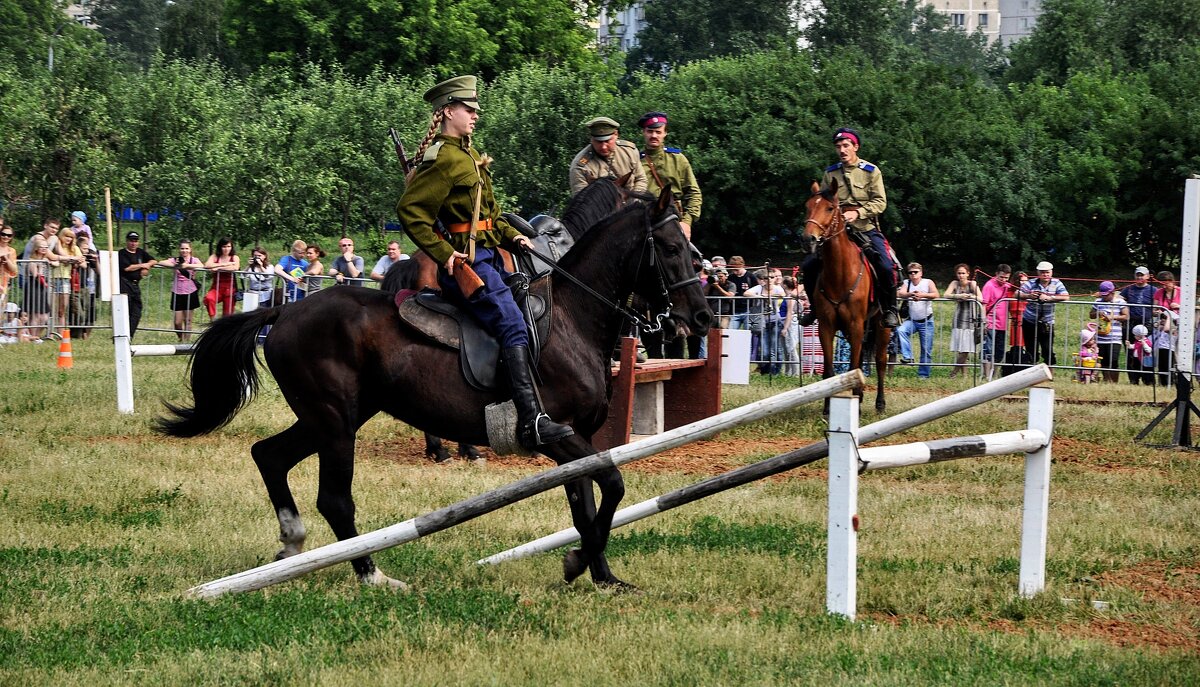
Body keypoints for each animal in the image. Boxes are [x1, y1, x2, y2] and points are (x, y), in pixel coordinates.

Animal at [153, 183, 705, 590]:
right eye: (671, 248)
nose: (699, 317)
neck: (575, 318)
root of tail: (285, 311)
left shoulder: (582, 441)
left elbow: (586, 502)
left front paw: (601, 575)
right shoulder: (560, 435)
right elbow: (610, 485)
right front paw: (578, 564)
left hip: (332, 418)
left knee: (269, 456)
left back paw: (292, 544)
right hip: (334, 423)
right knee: (334, 498)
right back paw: (372, 575)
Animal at [801, 180, 888, 410]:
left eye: (830, 208)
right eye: (808, 206)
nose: (808, 238)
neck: (840, 274)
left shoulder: (856, 325)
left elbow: (854, 366)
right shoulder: (827, 326)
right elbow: (830, 372)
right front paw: (828, 406)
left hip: (881, 326)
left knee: (881, 361)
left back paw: (879, 402)